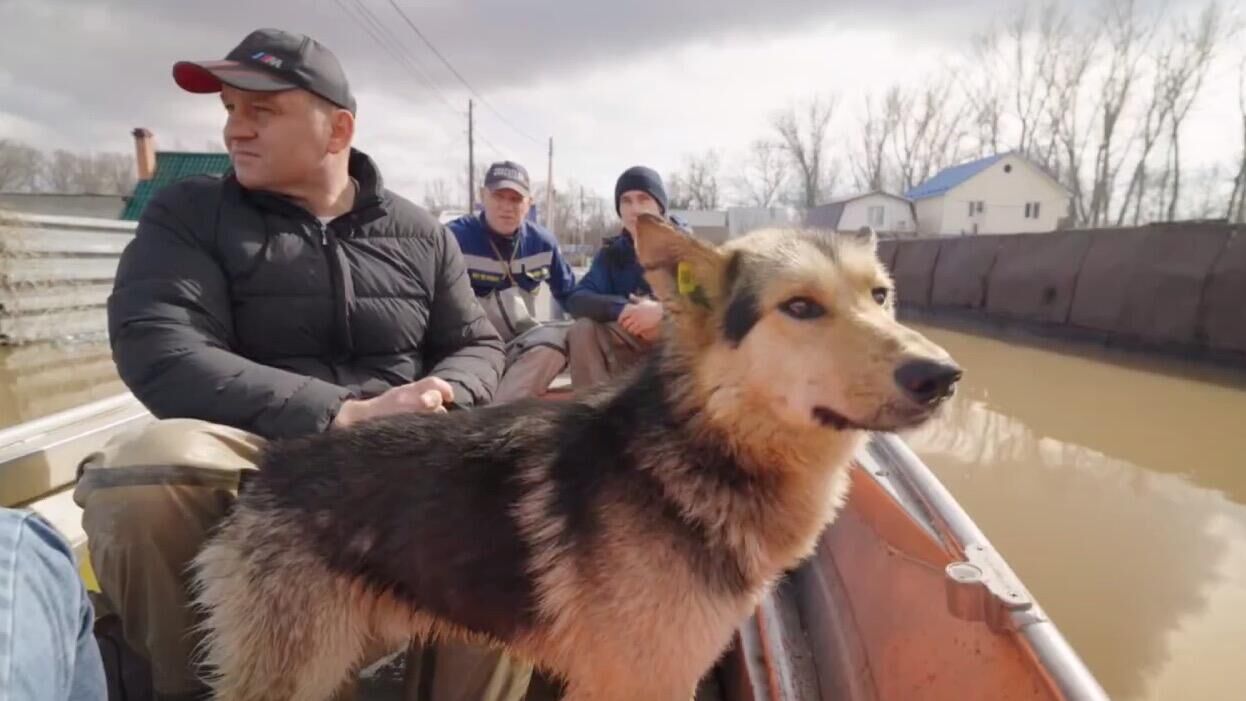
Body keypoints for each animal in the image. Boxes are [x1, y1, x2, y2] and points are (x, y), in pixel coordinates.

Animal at [186, 214, 961, 701]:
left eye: (882, 296)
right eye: (799, 308)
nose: (943, 376)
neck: (696, 448)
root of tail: (268, 469)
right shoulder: (639, 679)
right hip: (292, 670)